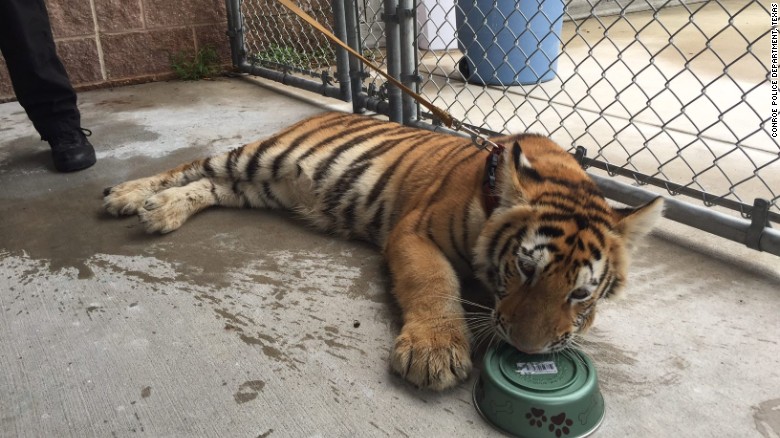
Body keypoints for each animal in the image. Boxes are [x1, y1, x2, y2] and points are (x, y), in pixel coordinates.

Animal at [103, 111, 663, 391]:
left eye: (580, 294)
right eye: (524, 268)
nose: (526, 351)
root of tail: (318, 111)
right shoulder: (415, 233)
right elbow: (434, 284)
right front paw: (434, 352)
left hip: (259, 187)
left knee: (209, 187)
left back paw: (162, 211)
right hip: (256, 157)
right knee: (190, 167)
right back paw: (128, 195)